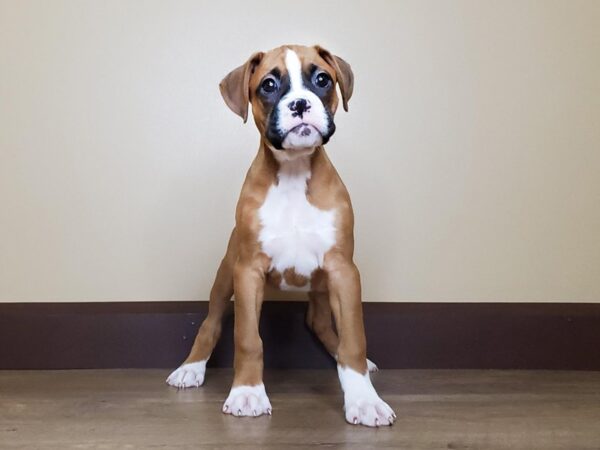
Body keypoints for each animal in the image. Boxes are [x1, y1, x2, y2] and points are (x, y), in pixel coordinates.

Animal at [166, 44, 396, 428]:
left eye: (322, 79)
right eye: (268, 85)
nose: (300, 104)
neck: (292, 172)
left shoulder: (343, 271)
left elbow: (353, 338)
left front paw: (364, 399)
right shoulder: (248, 272)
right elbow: (247, 338)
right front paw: (247, 393)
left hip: (323, 285)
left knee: (321, 323)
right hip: (225, 275)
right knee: (211, 323)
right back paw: (190, 368)